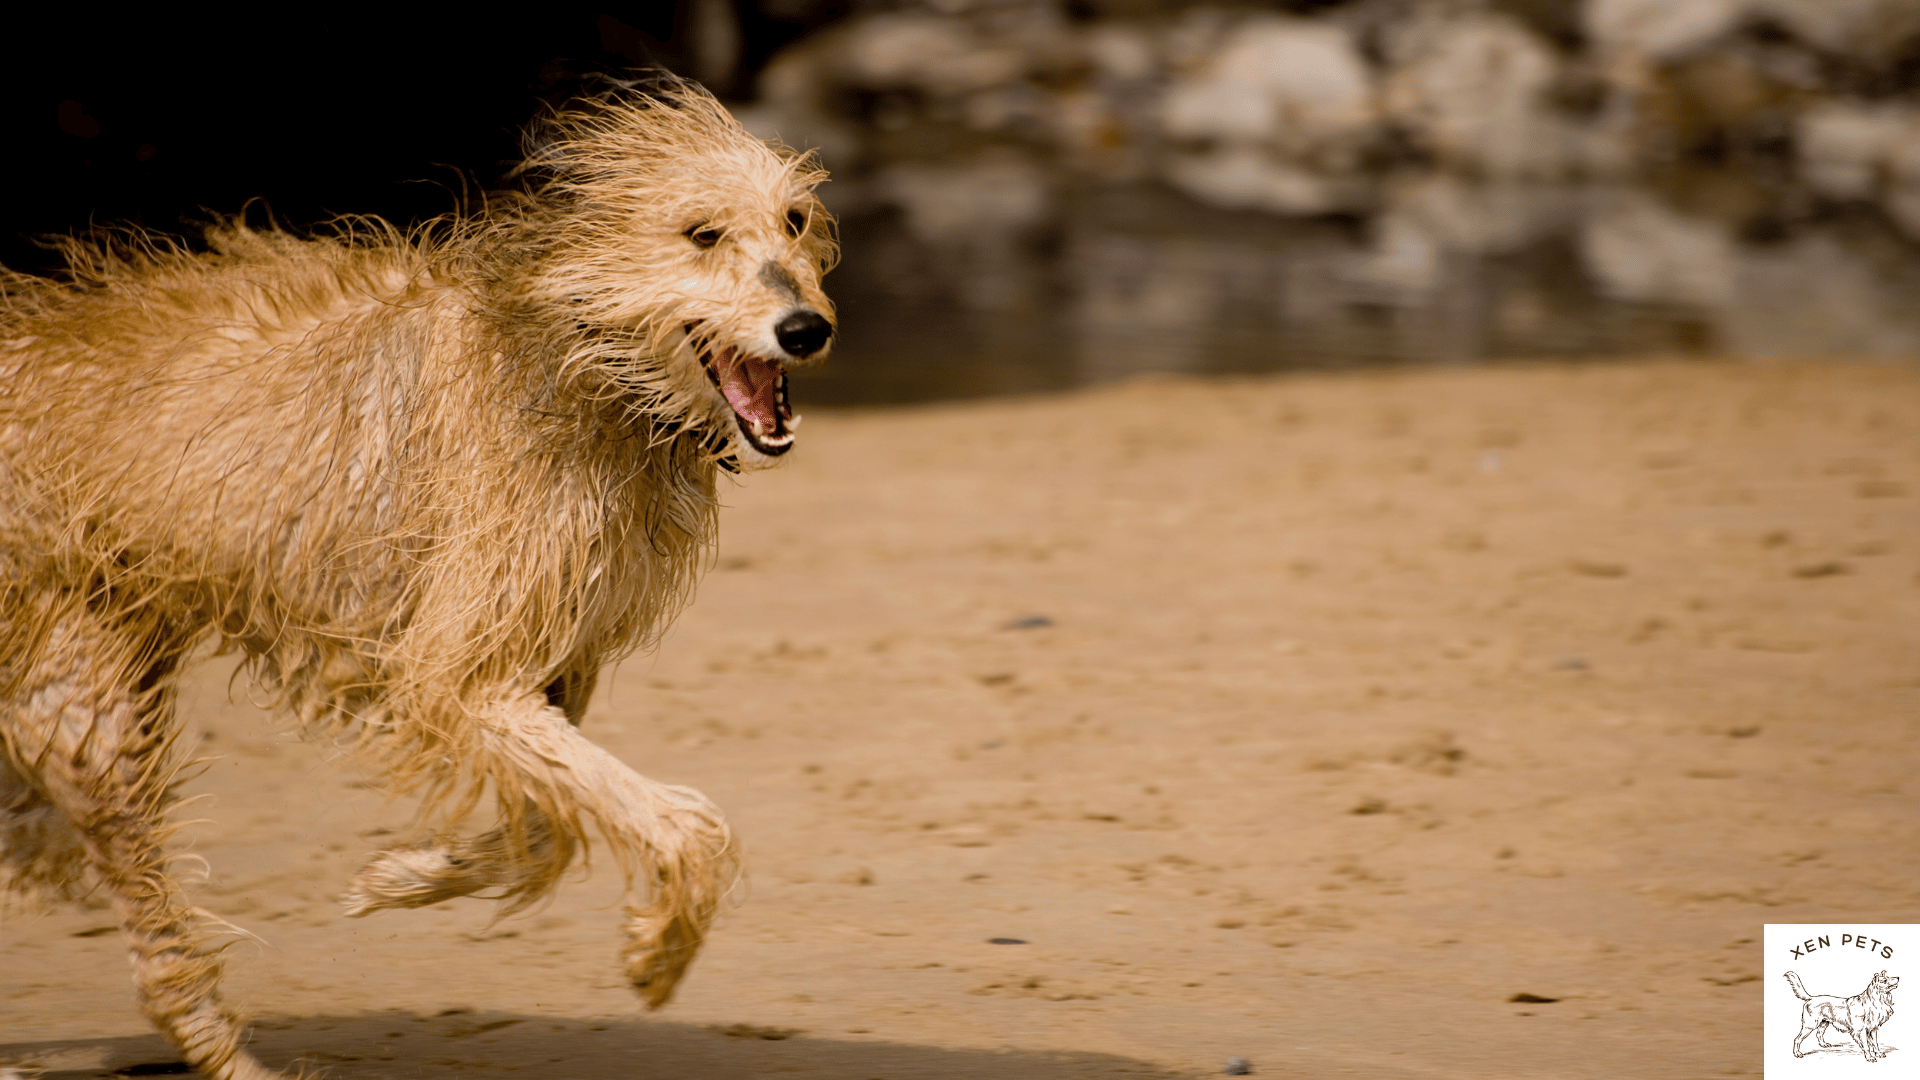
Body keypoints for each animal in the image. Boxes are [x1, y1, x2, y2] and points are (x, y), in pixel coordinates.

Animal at [3, 77, 837, 1076]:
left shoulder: (539, 670)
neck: (584, 361)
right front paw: (662, 949)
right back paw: (225, 1052)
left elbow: (548, 829)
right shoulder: (459, 669)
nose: (807, 328)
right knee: (157, 941)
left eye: (794, 220)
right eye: (702, 233)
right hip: (82, 712)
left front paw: (405, 878)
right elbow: (684, 826)